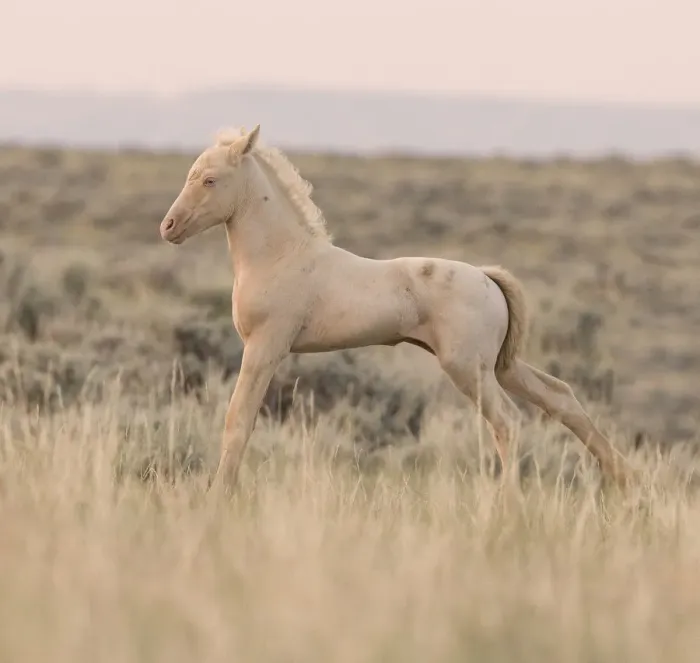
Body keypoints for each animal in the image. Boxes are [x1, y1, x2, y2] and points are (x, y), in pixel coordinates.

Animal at [159, 124, 630, 492]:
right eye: (190, 175)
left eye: (210, 180)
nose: (168, 226)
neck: (281, 255)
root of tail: (487, 277)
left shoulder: (264, 347)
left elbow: (237, 422)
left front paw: (218, 496)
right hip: (499, 365)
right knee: (560, 396)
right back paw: (624, 481)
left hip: (468, 368)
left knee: (508, 422)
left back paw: (509, 504)